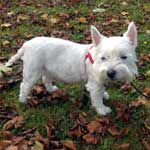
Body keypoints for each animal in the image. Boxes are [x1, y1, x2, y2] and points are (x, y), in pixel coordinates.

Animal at [5, 21, 137, 115]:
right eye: (103, 58)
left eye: (124, 57)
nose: (110, 73)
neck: (94, 59)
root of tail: (26, 44)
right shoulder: (94, 83)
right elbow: (97, 98)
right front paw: (102, 110)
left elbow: (101, 90)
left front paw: (104, 94)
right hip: (32, 71)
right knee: (24, 86)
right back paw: (23, 101)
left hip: (47, 69)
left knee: (45, 79)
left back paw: (52, 89)